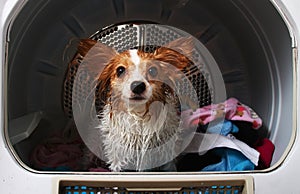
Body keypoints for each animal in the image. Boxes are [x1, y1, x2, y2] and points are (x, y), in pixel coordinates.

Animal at [67, 37, 195, 171]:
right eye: (120, 70)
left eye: (153, 70)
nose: (138, 86)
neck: (140, 115)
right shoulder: (118, 158)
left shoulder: (165, 156)